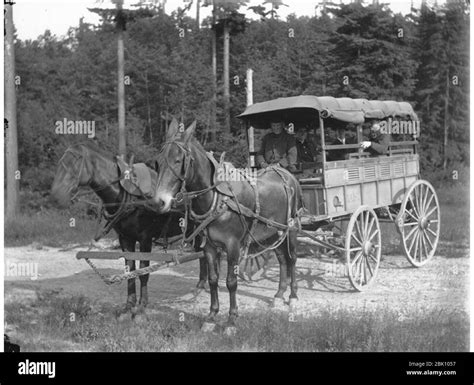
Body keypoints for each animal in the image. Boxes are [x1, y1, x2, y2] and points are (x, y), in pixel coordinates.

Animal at [50, 141, 209, 316]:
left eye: (77, 160)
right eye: (60, 161)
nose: (56, 196)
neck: (130, 197)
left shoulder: (145, 239)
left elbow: (143, 272)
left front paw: (142, 305)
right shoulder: (125, 239)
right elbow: (130, 271)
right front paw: (129, 304)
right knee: (202, 254)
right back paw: (201, 285)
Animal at [152, 119, 302, 330]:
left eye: (178, 160)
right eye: (157, 162)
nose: (159, 202)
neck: (217, 198)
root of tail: (286, 173)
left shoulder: (233, 246)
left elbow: (231, 281)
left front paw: (231, 320)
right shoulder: (209, 246)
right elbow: (213, 280)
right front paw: (211, 316)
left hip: (291, 228)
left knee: (293, 258)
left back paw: (293, 296)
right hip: (272, 232)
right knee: (281, 259)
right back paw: (279, 294)